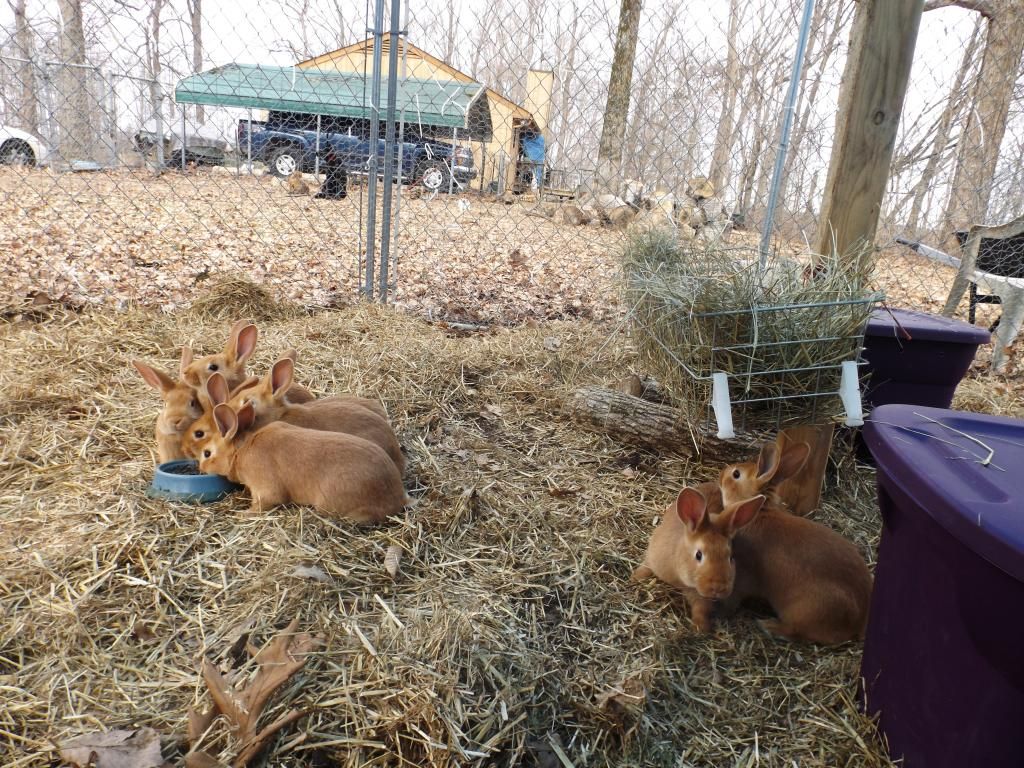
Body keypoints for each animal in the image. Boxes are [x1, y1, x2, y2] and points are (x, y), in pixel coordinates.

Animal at [199, 401, 407, 522]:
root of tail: (397, 498)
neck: (241, 450)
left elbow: (262, 504)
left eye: (207, 453)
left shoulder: (265, 491)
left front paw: (243, 514)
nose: (200, 468)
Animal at [631, 481, 766, 633]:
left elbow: (701, 609)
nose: (718, 588)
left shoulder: (699, 596)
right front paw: (634, 578)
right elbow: (646, 566)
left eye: (731, 557)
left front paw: (700, 628)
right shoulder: (653, 557)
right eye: (698, 554)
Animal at [719, 448, 873, 645]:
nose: (721, 474)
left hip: (805, 611)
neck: (760, 511)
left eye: (736, 474)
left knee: (797, 632)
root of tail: (859, 624)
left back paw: (768, 626)